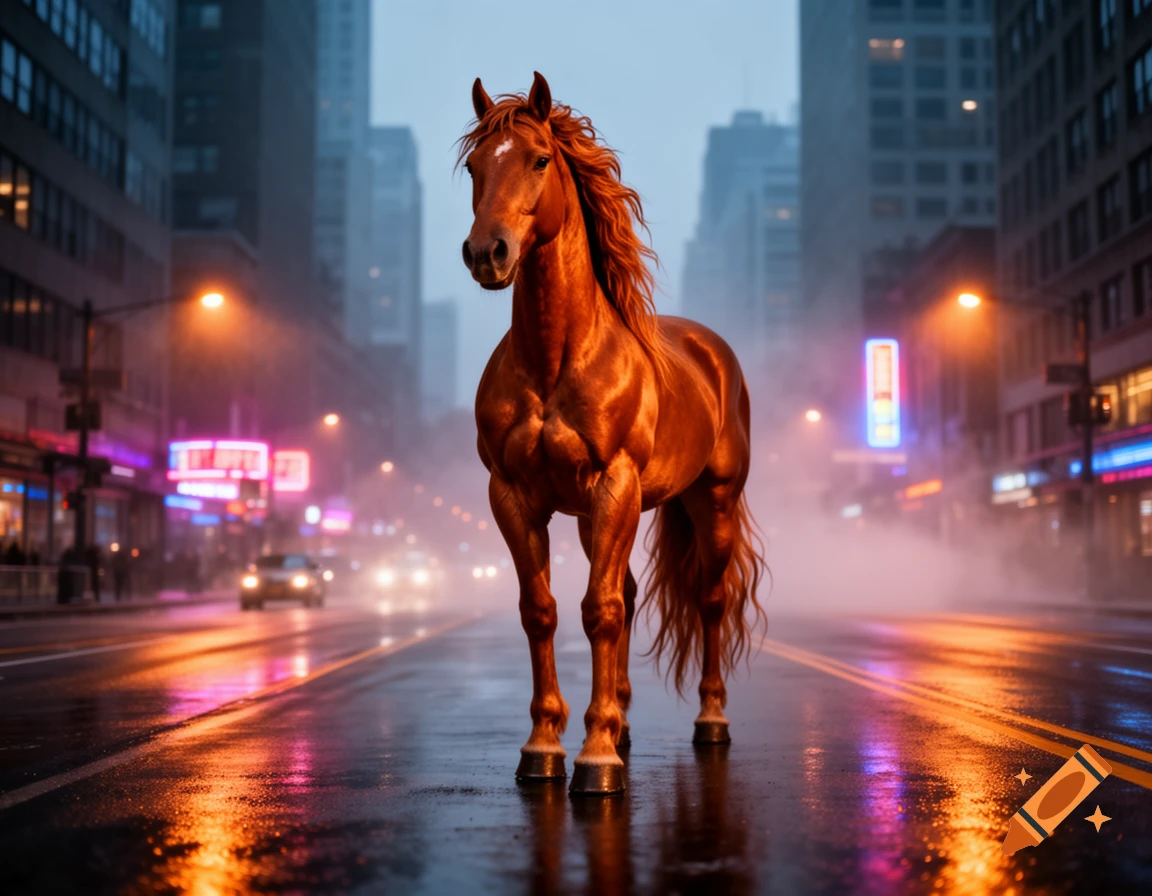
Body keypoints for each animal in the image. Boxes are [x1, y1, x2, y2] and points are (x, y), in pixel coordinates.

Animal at [461, 72, 767, 795]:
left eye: (539, 159)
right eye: (474, 166)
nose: (487, 253)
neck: (555, 358)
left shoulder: (615, 485)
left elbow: (597, 611)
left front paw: (595, 759)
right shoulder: (515, 497)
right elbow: (542, 610)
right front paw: (545, 746)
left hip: (711, 501)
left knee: (708, 601)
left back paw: (710, 718)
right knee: (625, 595)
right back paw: (622, 722)